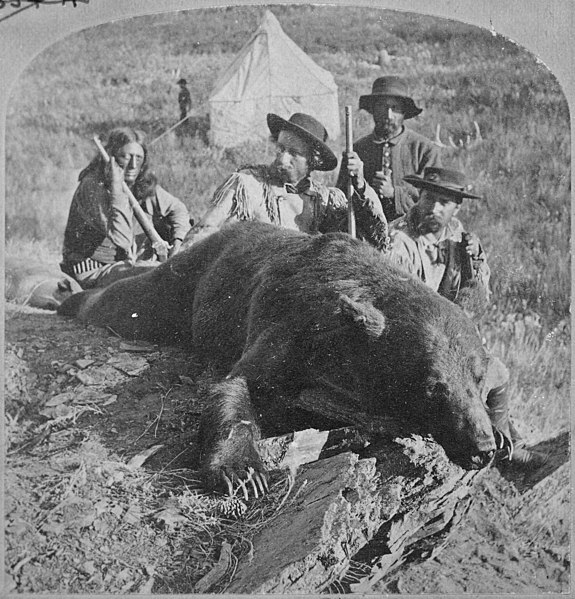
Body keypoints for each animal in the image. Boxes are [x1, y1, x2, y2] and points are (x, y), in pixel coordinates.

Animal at [59, 223, 500, 494]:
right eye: (432, 386)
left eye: (478, 382)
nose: (483, 447)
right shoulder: (294, 324)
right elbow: (237, 388)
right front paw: (241, 472)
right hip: (187, 284)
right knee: (133, 300)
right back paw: (69, 298)